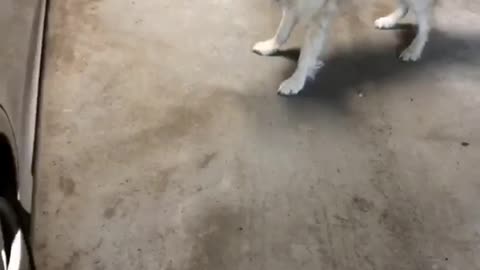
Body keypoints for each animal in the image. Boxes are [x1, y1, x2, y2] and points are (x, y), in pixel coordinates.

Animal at [253, 0, 436, 95]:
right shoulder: (295, 6)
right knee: (406, 7)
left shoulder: (318, 14)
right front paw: (269, 46)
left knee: (426, 23)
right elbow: (282, 32)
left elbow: (306, 56)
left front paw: (296, 81)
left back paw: (414, 49)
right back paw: (388, 20)